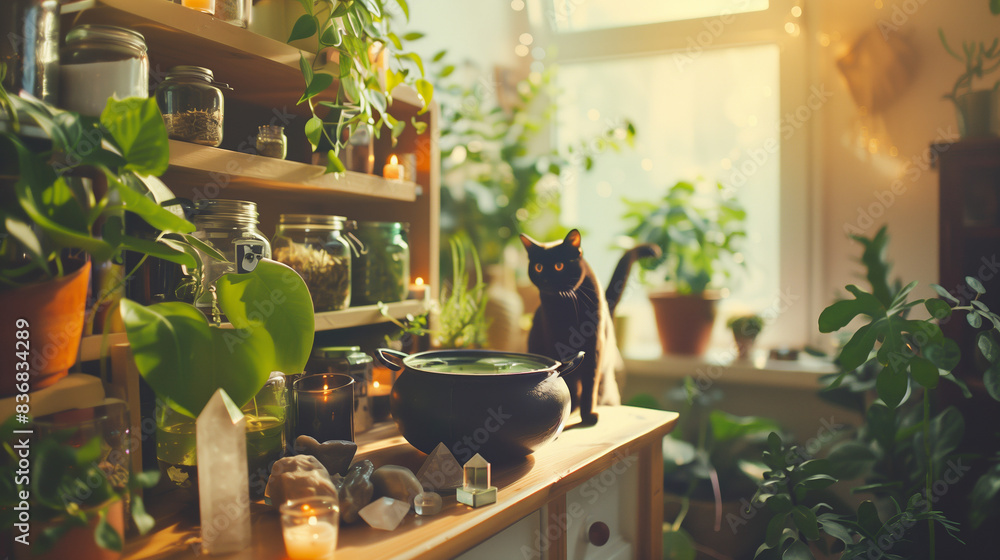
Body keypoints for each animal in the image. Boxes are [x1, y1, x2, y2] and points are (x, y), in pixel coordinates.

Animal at [520, 228, 660, 424]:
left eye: (559, 266)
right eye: (538, 267)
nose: (546, 280)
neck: (565, 306)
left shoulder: (594, 347)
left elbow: (589, 384)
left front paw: (588, 416)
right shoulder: (554, 342)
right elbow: (566, 380)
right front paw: (567, 407)